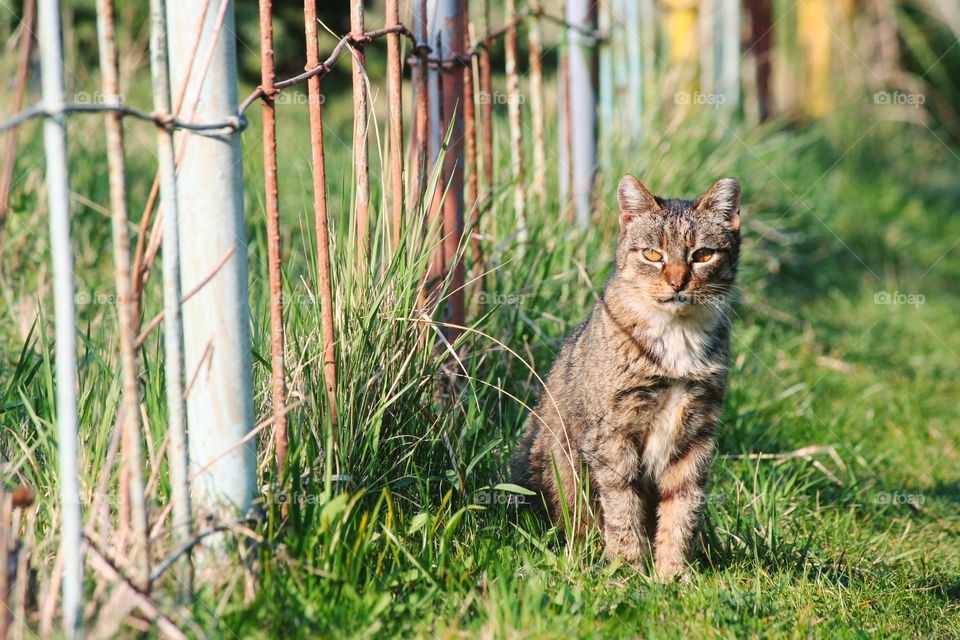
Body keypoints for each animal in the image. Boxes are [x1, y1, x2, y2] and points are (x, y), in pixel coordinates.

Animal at [510, 175, 744, 580]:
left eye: (702, 255)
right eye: (652, 254)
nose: (677, 283)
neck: (676, 338)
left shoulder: (696, 435)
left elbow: (683, 508)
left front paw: (673, 574)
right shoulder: (613, 435)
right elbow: (623, 507)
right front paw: (629, 569)